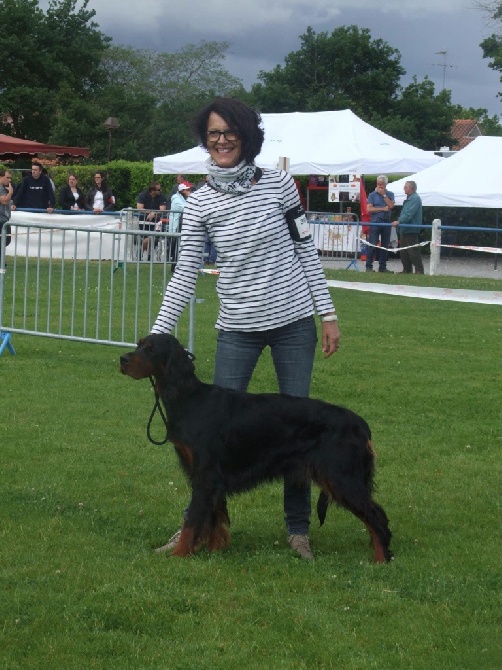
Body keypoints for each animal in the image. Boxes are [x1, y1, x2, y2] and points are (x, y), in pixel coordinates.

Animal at [120, 334, 392, 564]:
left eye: (151, 349)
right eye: (139, 343)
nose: (122, 359)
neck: (190, 399)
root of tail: (360, 424)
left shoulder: (205, 476)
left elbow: (193, 520)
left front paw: (179, 554)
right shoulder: (211, 478)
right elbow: (215, 517)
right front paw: (214, 549)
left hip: (341, 477)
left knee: (376, 516)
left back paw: (381, 559)